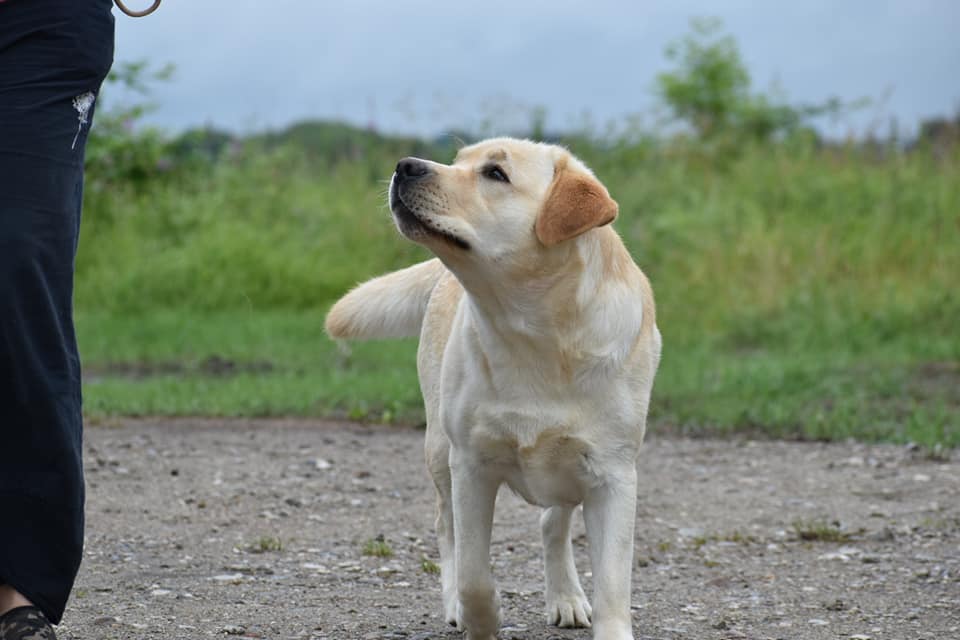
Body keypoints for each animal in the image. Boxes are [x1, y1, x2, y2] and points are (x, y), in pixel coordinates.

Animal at [324, 138, 660, 636]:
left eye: (495, 174)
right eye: (458, 161)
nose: (406, 166)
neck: (535, 334)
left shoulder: (613, 476)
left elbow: (614, 587)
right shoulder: (471, 464)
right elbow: (473, 574)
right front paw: (478, 619)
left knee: (553, 523)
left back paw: (566, 597)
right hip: (438, 449)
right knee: (446, 527)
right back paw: (456, 606)